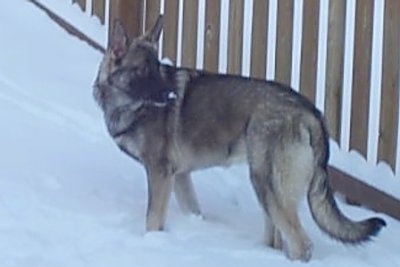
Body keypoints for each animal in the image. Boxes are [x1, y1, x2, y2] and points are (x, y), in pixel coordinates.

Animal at [92, 15, 386, 262]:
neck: (128, 106)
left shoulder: (160, 174)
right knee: (278, 239)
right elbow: (193, 211)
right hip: (266, 187)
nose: (170, 96)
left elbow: (152, 221)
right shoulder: (179, 176)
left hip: (266, 184)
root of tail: (311, 112)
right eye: (142, 70)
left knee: (302, 244)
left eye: (156, 68)